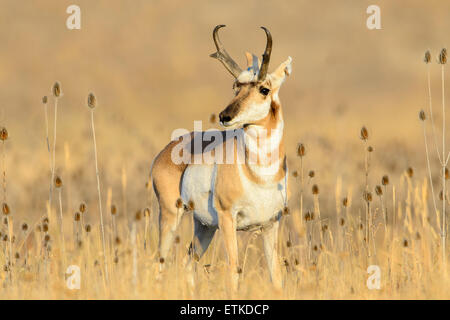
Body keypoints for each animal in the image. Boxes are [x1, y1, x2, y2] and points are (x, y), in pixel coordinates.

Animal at [151, 25, 292, 290]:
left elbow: (276, 276)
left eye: (264, 89)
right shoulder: (228, 219)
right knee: (159, 264)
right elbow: (233, 271)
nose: (225, 116)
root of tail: (167, 150)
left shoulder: (271, 224)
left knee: (187, 264)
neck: (259, 176)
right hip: (171, 215)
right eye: (236, 86)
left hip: (204, 227)